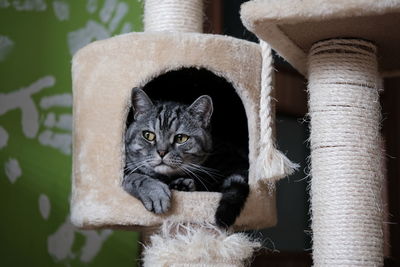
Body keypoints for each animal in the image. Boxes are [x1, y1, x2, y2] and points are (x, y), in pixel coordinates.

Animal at [122, 88, 248, 228]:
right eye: (148, 135)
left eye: (181, 138)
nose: (162, 152)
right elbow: (136, 177)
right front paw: (155, 192)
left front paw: (180, 185)